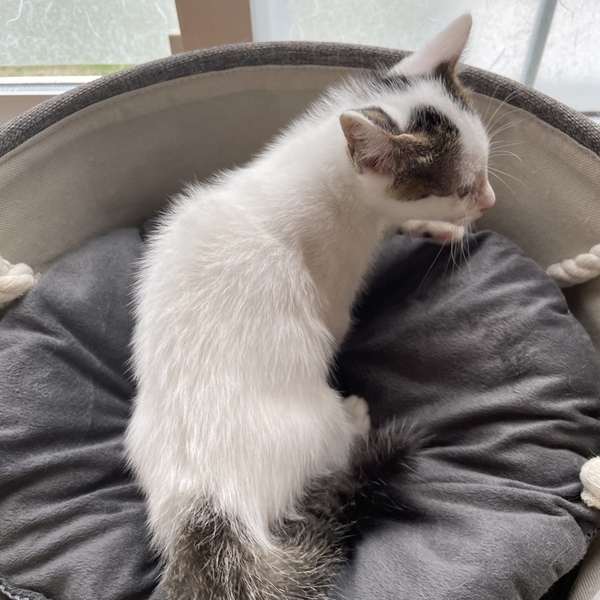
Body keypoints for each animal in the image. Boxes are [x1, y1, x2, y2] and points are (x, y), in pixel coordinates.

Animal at [125, 14, 495, 600]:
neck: (327, 176)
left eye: (484, 172)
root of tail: (206, 503)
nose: (489, 202)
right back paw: (355, 416)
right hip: (314, 422)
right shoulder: (333, 289)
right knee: (338, 446)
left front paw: (434, 230)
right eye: (460, 187)